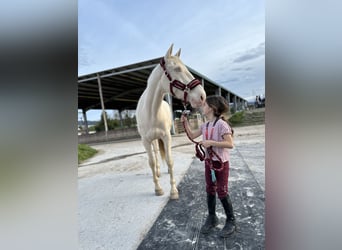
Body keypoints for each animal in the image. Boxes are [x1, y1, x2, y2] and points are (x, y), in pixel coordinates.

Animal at [136, 43, 206, 199]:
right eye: (177, 68)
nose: (202, 96)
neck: (151, 112)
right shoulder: (145, 141)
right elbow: (151, 162)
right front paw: (158, 189)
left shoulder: (166, 137)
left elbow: (170, 160)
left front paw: (173, 191)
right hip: (153, 140)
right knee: (156, 155)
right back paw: (157, 172)